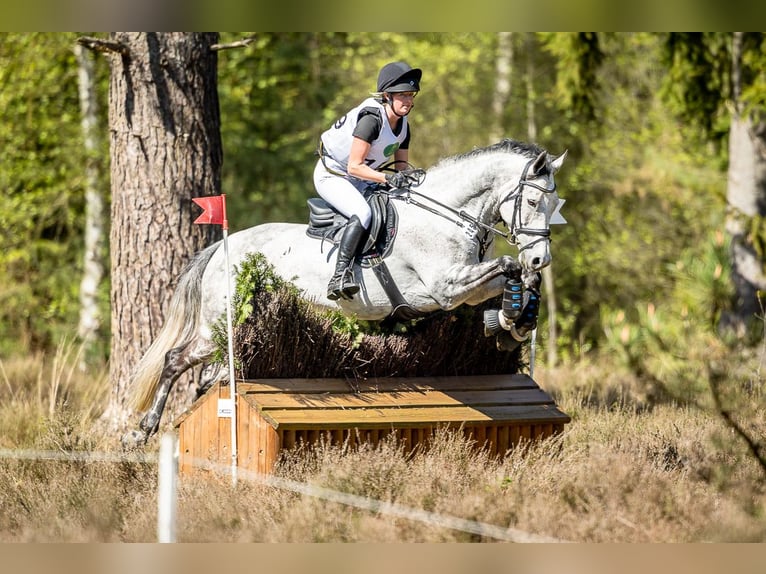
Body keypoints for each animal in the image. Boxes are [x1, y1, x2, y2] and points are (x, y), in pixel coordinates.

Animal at [121, 139, 567, 447]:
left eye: (554, 204)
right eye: (532, 200)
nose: (541, 258)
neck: (447, 216)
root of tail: (220, 249)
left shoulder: (466, 286)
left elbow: (514, 277)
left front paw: (512, 321)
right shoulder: (444, 288)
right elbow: (508, 266)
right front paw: (510, 318)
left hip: (228, 331)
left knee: (204, 375)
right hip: (219, 325)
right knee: (175, 360)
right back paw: (141, 431)